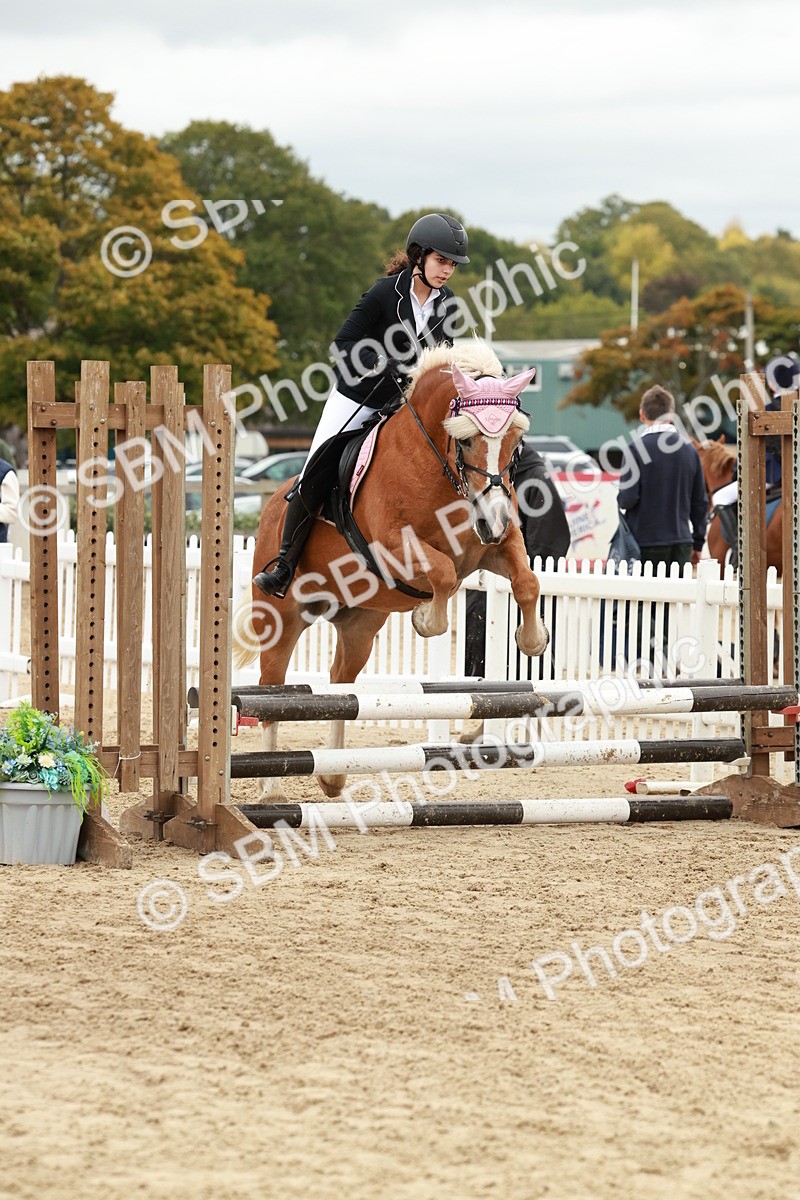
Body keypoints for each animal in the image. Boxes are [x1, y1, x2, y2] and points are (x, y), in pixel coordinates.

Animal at [234, 341, 550, 799]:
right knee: (270, 690)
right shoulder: (394, 549)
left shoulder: (496, 545)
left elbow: (526, 580)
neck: (436, 466)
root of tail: (272, 504)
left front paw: (533, 640)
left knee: (341, 684)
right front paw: (425, 619)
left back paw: (333, 775)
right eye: (467, 440)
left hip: (361, 624)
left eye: (516, 440)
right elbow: (443, 574)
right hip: (280, 616)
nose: (491, 521)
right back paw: (273, 789)